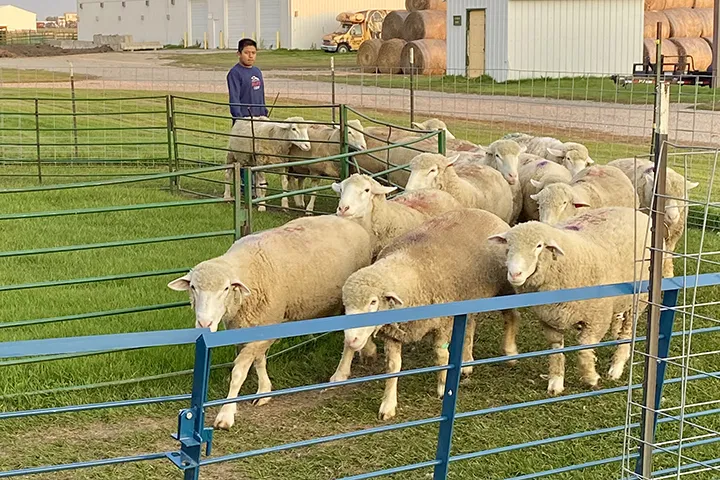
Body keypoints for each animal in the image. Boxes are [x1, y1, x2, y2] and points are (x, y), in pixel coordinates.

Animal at [167, 214, 374, 430]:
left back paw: (341, 373)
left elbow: (239, 372)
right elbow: (259, 360)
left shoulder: (269, 323)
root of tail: (348, 220)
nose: (204, 323)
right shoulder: (251, 326)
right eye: (192, 287)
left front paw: (226, 414)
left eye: (226, 288)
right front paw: (264, 391)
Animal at [335, 208, 521, 420]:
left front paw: (443, 386)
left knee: (511, 317)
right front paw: (388, 404)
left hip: (504, 286)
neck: (411, 272)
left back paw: (510, 353)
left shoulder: (443, 323)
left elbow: (441, 355)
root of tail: (486, 213)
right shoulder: (394, 334)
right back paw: (466, 362)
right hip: (470, 296)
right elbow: (393, 367)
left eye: (373, 302)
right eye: (346, 304)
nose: (351, 339)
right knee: (470, 324)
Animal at [488, 207, 652, 395]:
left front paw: (591, 378)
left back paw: (616, 367)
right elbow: (556, 351)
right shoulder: (549, 319)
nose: (515, 274)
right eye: (508, 245)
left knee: (628, 330)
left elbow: (584, 349)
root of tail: (634, 211)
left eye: (539, 246)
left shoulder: (597, 318)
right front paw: (556, 382)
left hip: (639, 298)